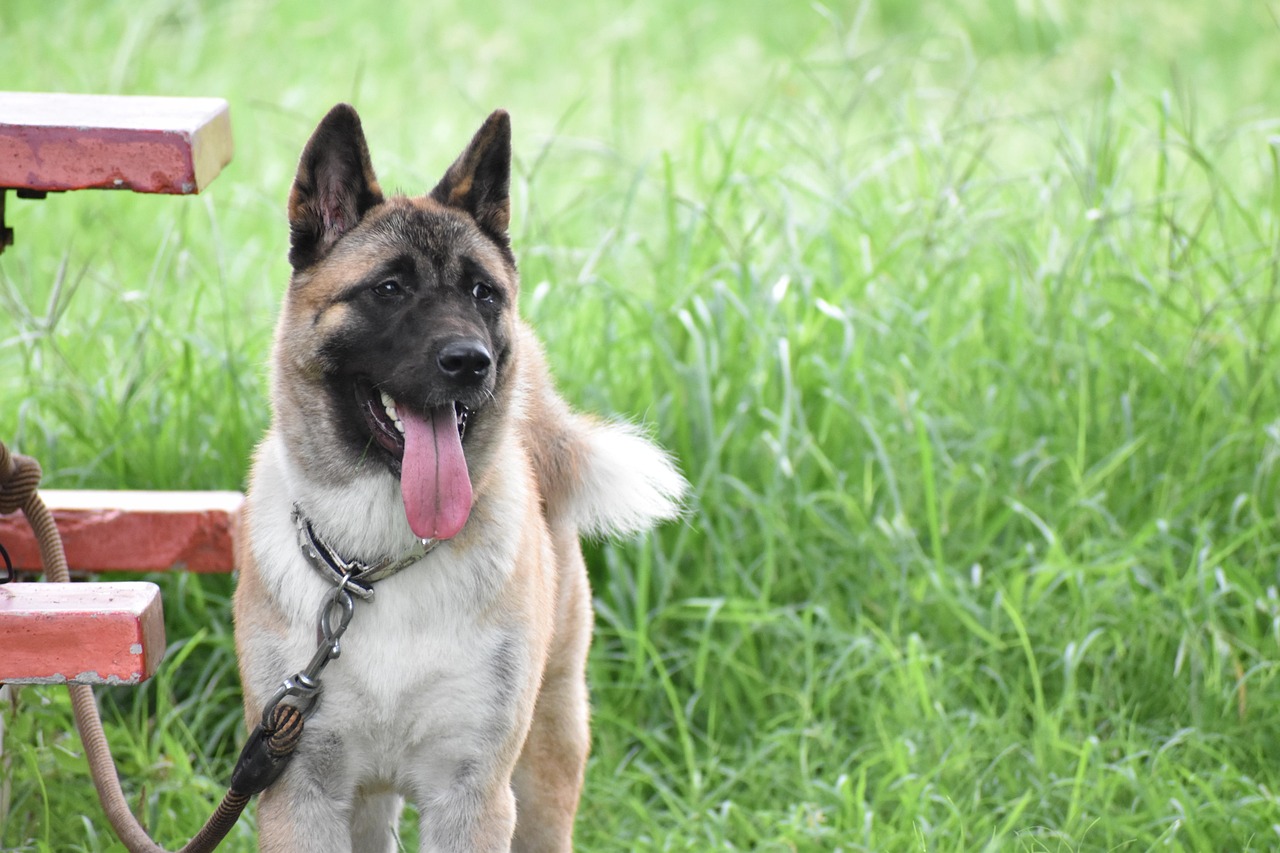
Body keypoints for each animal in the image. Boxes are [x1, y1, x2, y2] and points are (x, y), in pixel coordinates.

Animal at [234, 106, 686, 850]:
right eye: (389, 289)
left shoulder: (472, 797)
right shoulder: (301, 795)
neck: (374, 567)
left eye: (482, 292)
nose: (471, 361)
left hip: (547, 760)